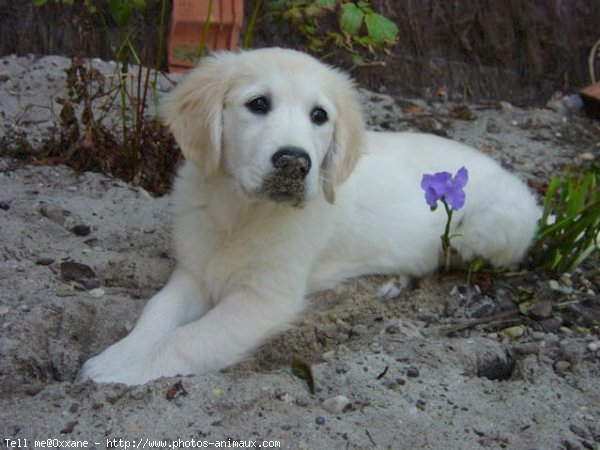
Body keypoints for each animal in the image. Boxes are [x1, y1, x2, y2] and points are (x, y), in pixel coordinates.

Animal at [81, 47, 540, 384]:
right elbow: (156, 312)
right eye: (258, 104)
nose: (293, 162)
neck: (242, 213)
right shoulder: (193, 272)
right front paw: (119, 355)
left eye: (319, 115)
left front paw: (125, 371)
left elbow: (188, 339)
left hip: (482, 227)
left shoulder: (265, 299)